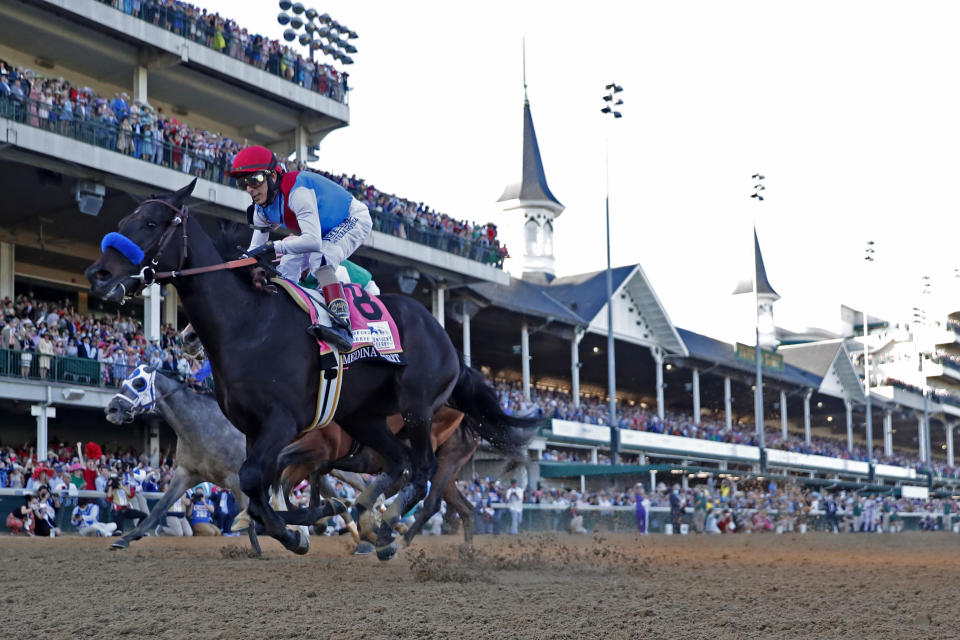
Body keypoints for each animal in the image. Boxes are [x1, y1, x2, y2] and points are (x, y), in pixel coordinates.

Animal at [104, 364, 251, 552]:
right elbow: (159, 507)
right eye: (124, 381)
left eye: (139, 383)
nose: (111, 409)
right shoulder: (186, 473)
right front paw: (126, 538)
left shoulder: (236, 479)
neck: (205, 427)